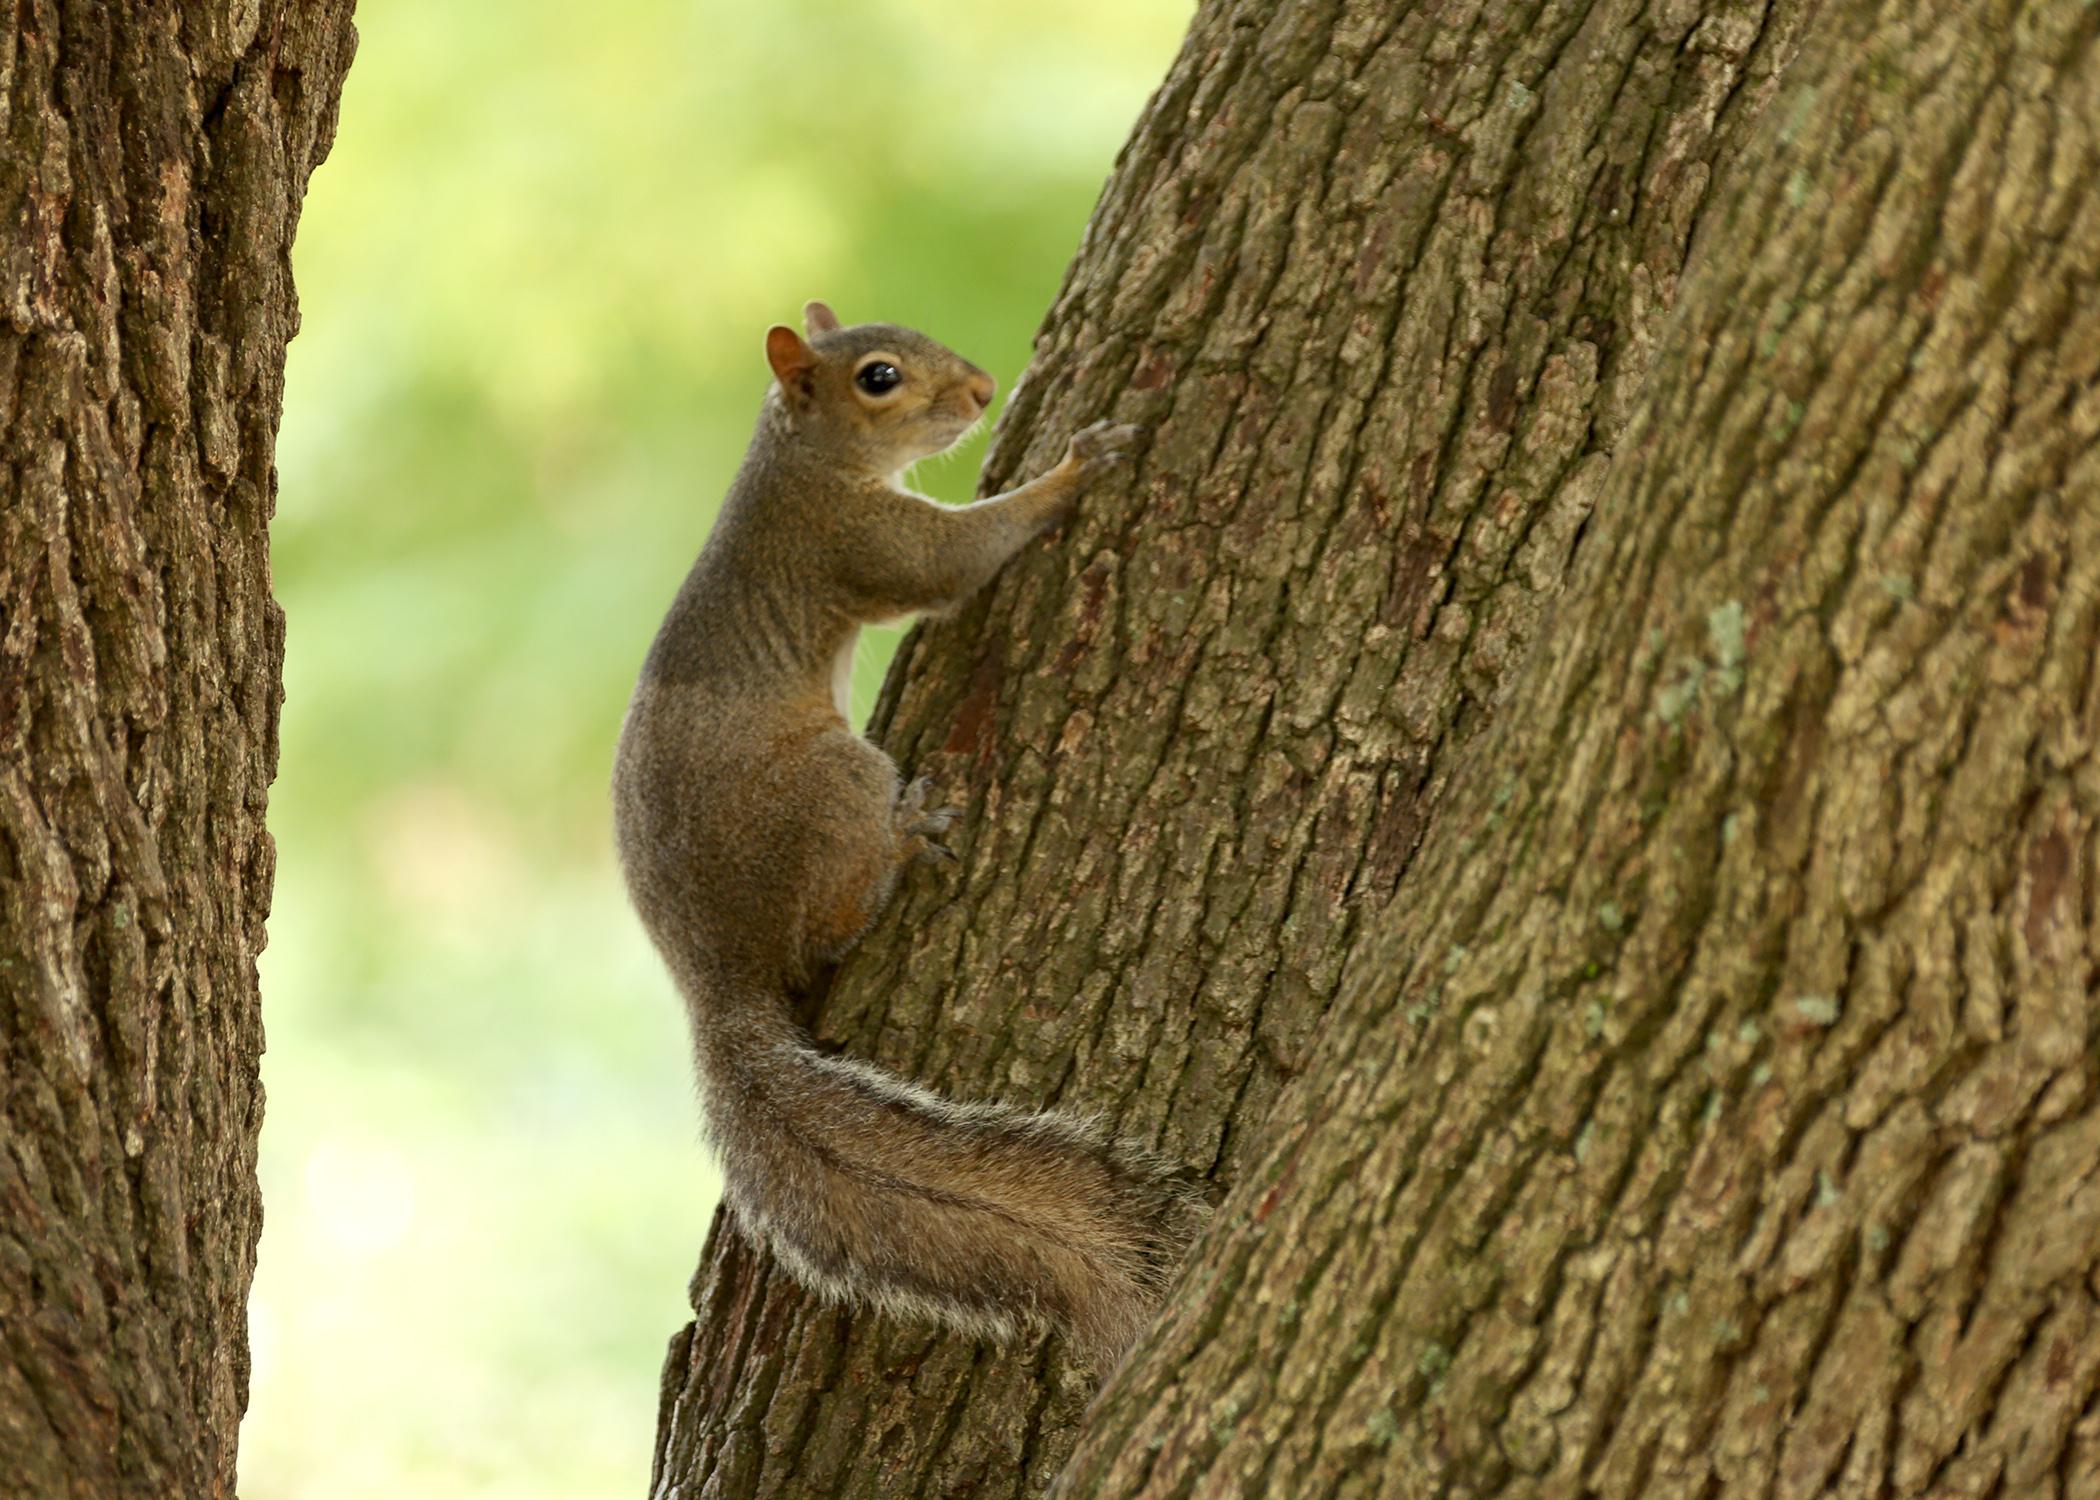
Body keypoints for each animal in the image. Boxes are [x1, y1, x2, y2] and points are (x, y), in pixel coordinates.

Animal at [613, 300, 1201, 1369]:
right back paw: (906, 837)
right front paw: (1077, 467)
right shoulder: (859, 541)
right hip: (836, 783)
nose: (982, 390)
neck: (797, 460)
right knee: (833, 923)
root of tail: (714, 975)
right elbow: (957, 560)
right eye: (880, 377)